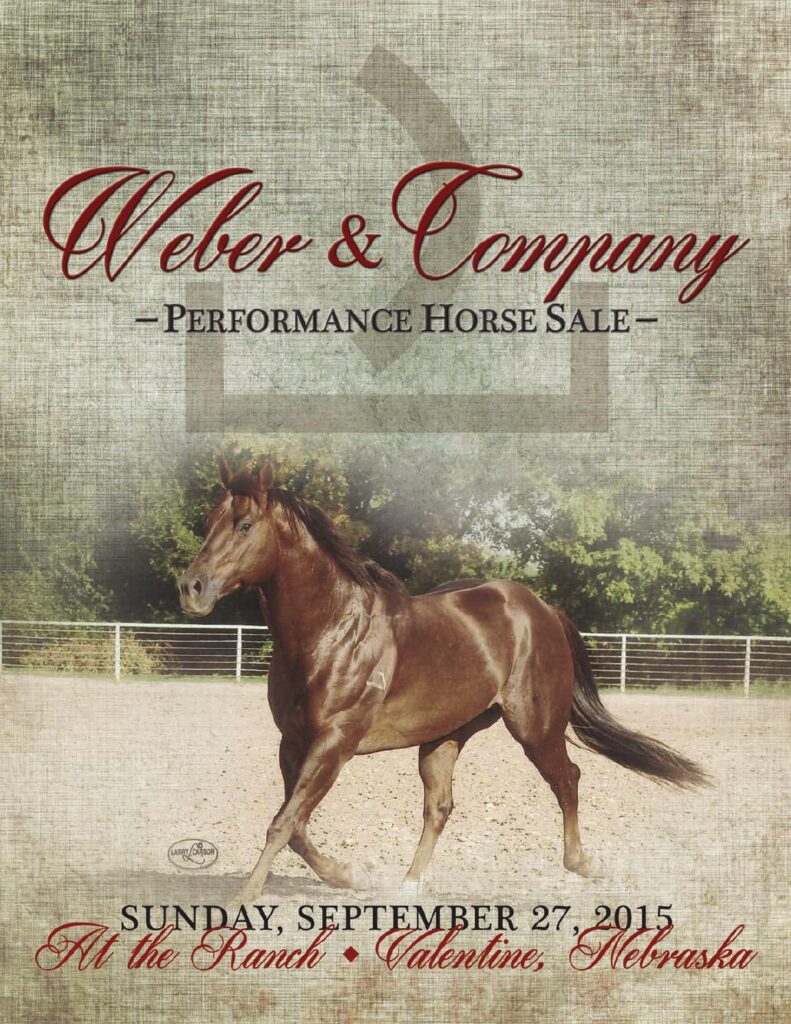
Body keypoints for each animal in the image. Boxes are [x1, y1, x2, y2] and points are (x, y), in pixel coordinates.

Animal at [177, 459, 707, 897]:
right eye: (209, 523)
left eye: (245, 525)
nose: (191, 587)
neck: (332, 630)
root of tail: (541, 609)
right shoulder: (293, 741)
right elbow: (296, 826)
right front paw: (350, 875)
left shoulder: (335, 742)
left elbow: (283, 822)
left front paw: (245, 898)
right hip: (445, 736)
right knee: (441, 806)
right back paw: (409, 885)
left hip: (535, 727)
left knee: (568, 779)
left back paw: (582, 863)